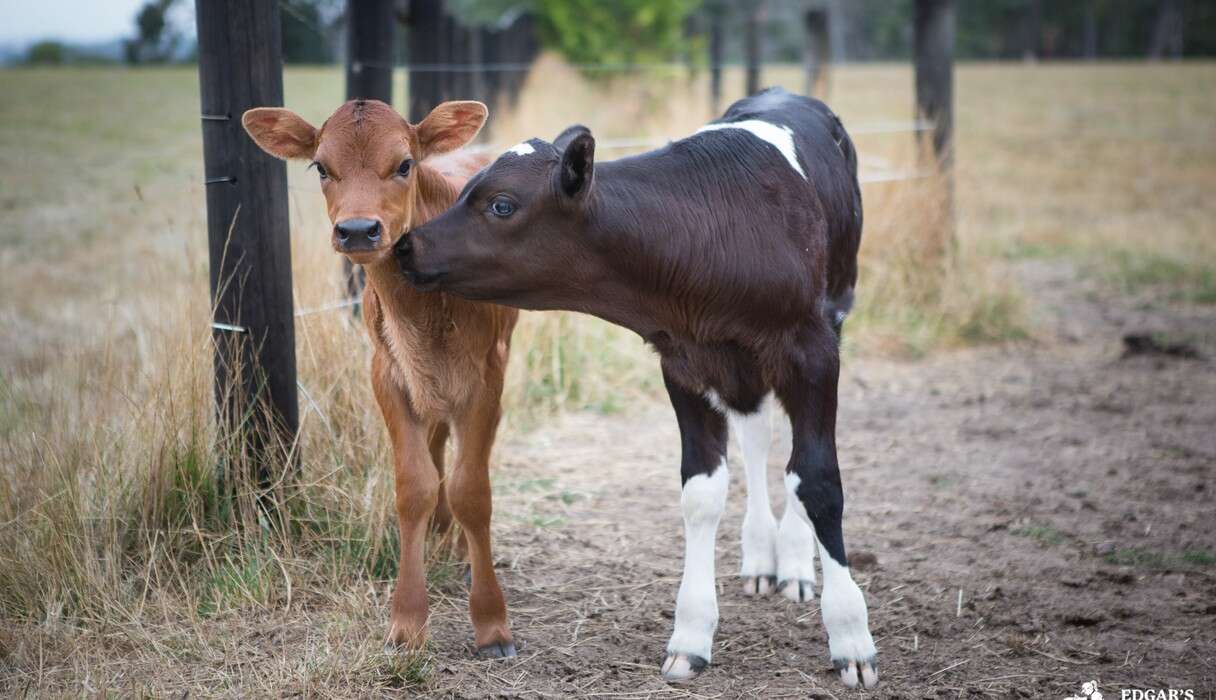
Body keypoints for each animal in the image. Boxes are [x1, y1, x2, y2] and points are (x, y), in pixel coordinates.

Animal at [241, 98, 518, 656]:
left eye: (404, 164)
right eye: (321, 167)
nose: (356, 230)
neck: (425, 313)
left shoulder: (486, 376)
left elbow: (472, 489)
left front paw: (491, 624)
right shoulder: (387, 375)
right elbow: (414, 486)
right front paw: (407, 622)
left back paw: (458, 547)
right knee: (436, 449)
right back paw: (440, 533)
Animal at [403, 86, 880, 690]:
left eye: (501, 205)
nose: (404, 246)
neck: (718, 235)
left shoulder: (813, 350)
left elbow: (817, 480)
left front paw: (852, 639)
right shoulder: (683, 360)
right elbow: (701, 491)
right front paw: (691, 636)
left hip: (833, 307)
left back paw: (795, 563)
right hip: (741, 368)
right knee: (756, 435)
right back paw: (761, 557)